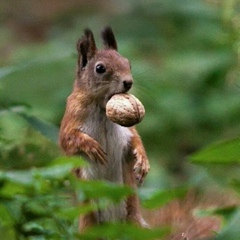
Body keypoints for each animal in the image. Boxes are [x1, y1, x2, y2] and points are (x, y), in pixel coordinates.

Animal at [58, 26, 150, 231]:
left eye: (128, 63)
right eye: (100, 68)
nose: (128, 82)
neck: (102, 107)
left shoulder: (127, 131)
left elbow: (136, 140)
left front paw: (143, 161)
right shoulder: (72, 116)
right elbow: (68, 139)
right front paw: (91, 146)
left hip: (132, 213)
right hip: (89, 218)